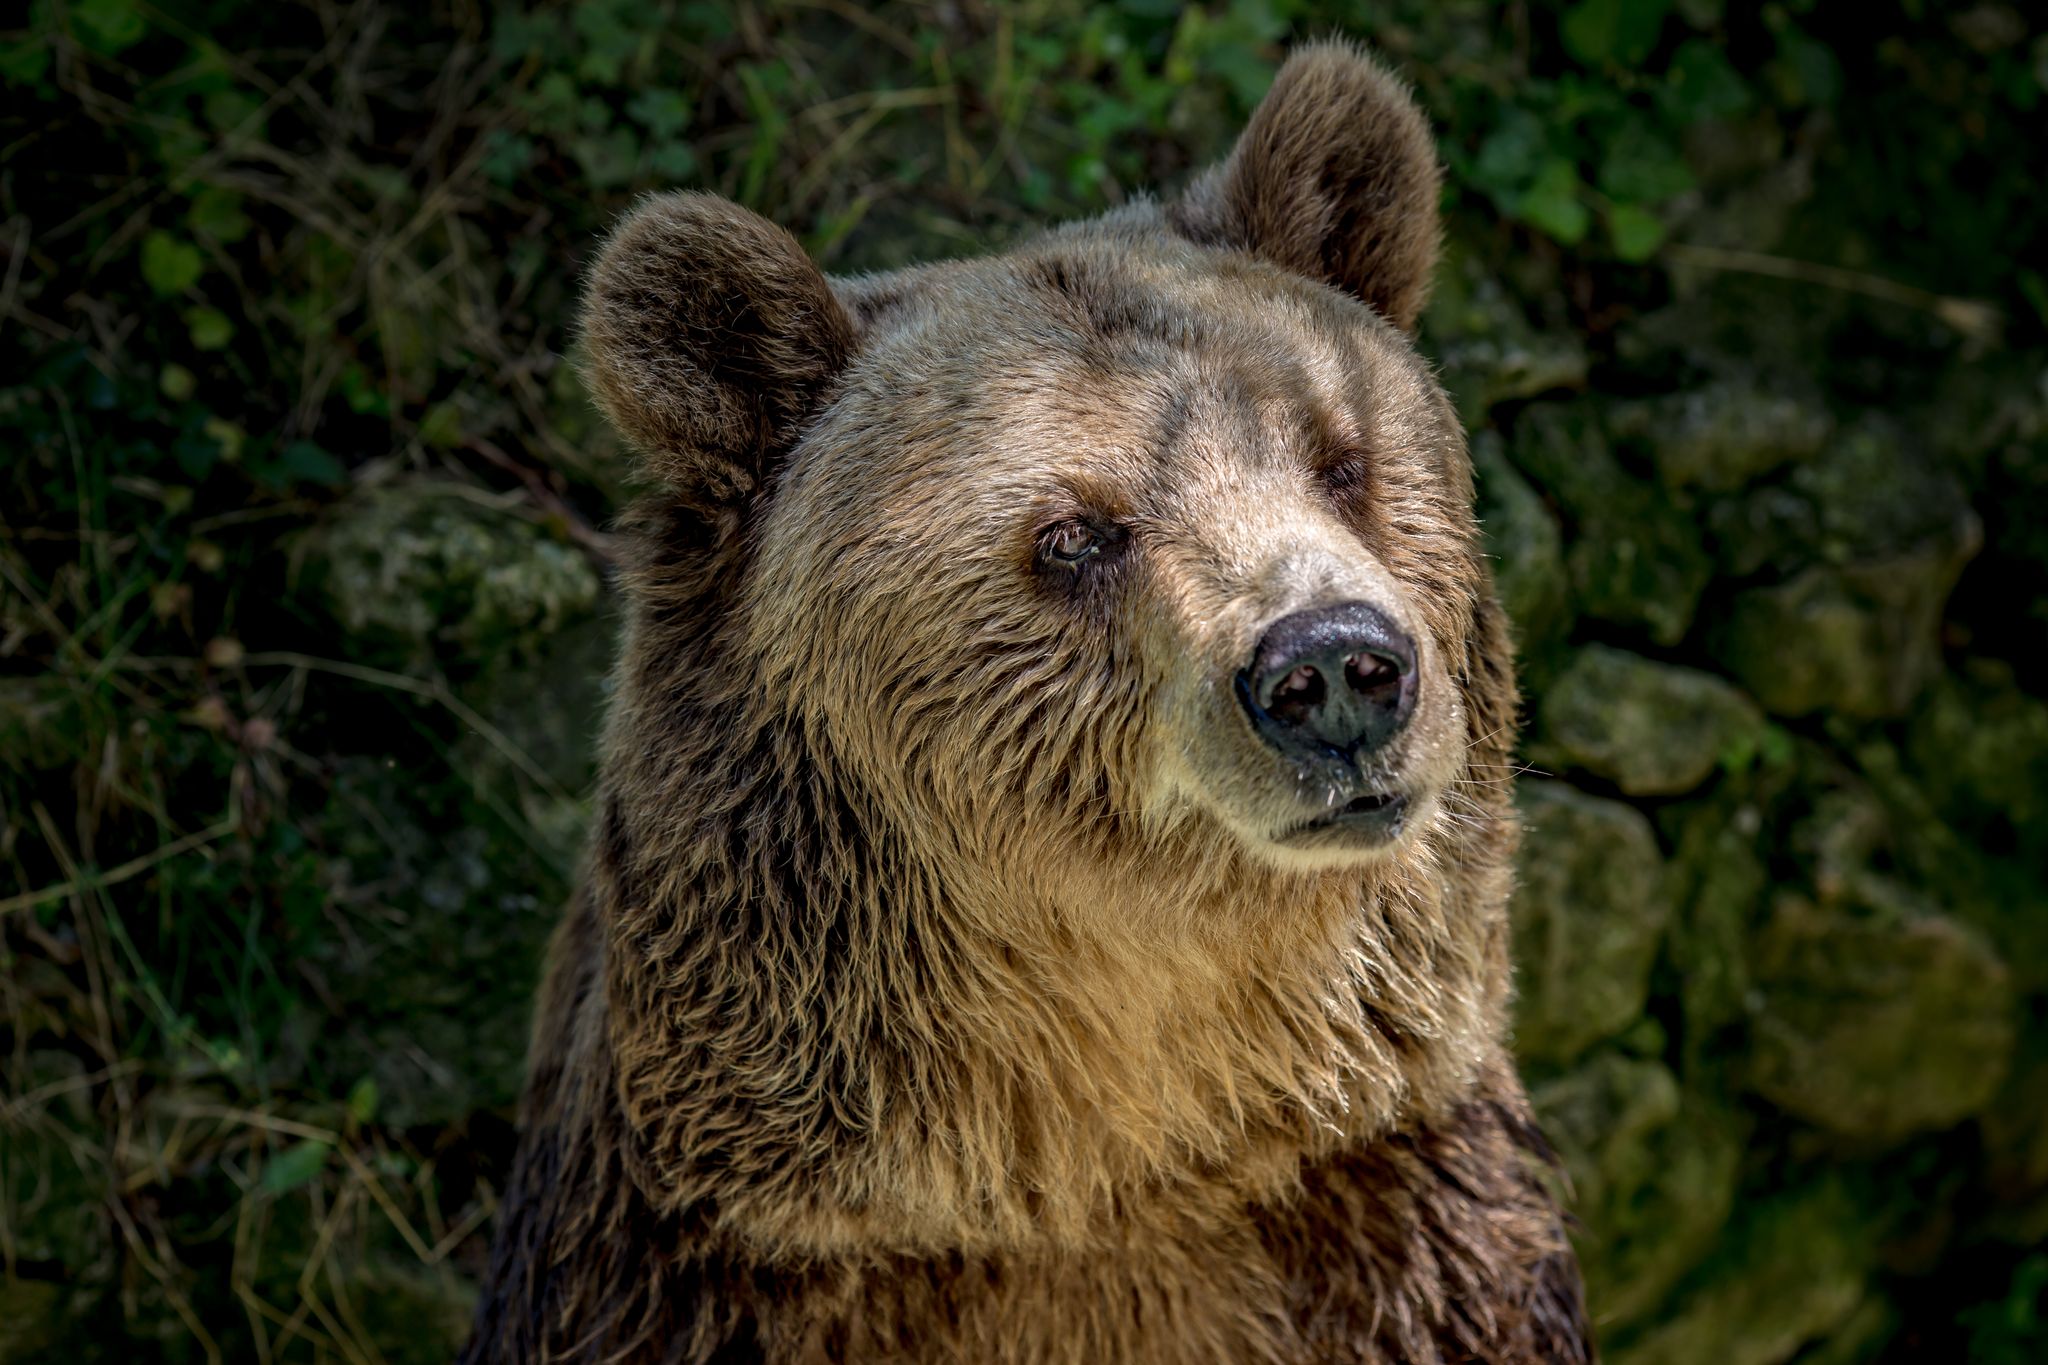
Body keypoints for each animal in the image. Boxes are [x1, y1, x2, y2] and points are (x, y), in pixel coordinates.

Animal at [462, 40, 1591, 1365]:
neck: (1100, 1172)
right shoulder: (685, 1276)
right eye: (1072, 535)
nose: (1330, 666)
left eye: (1337, 457)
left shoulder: (1426, 1240)